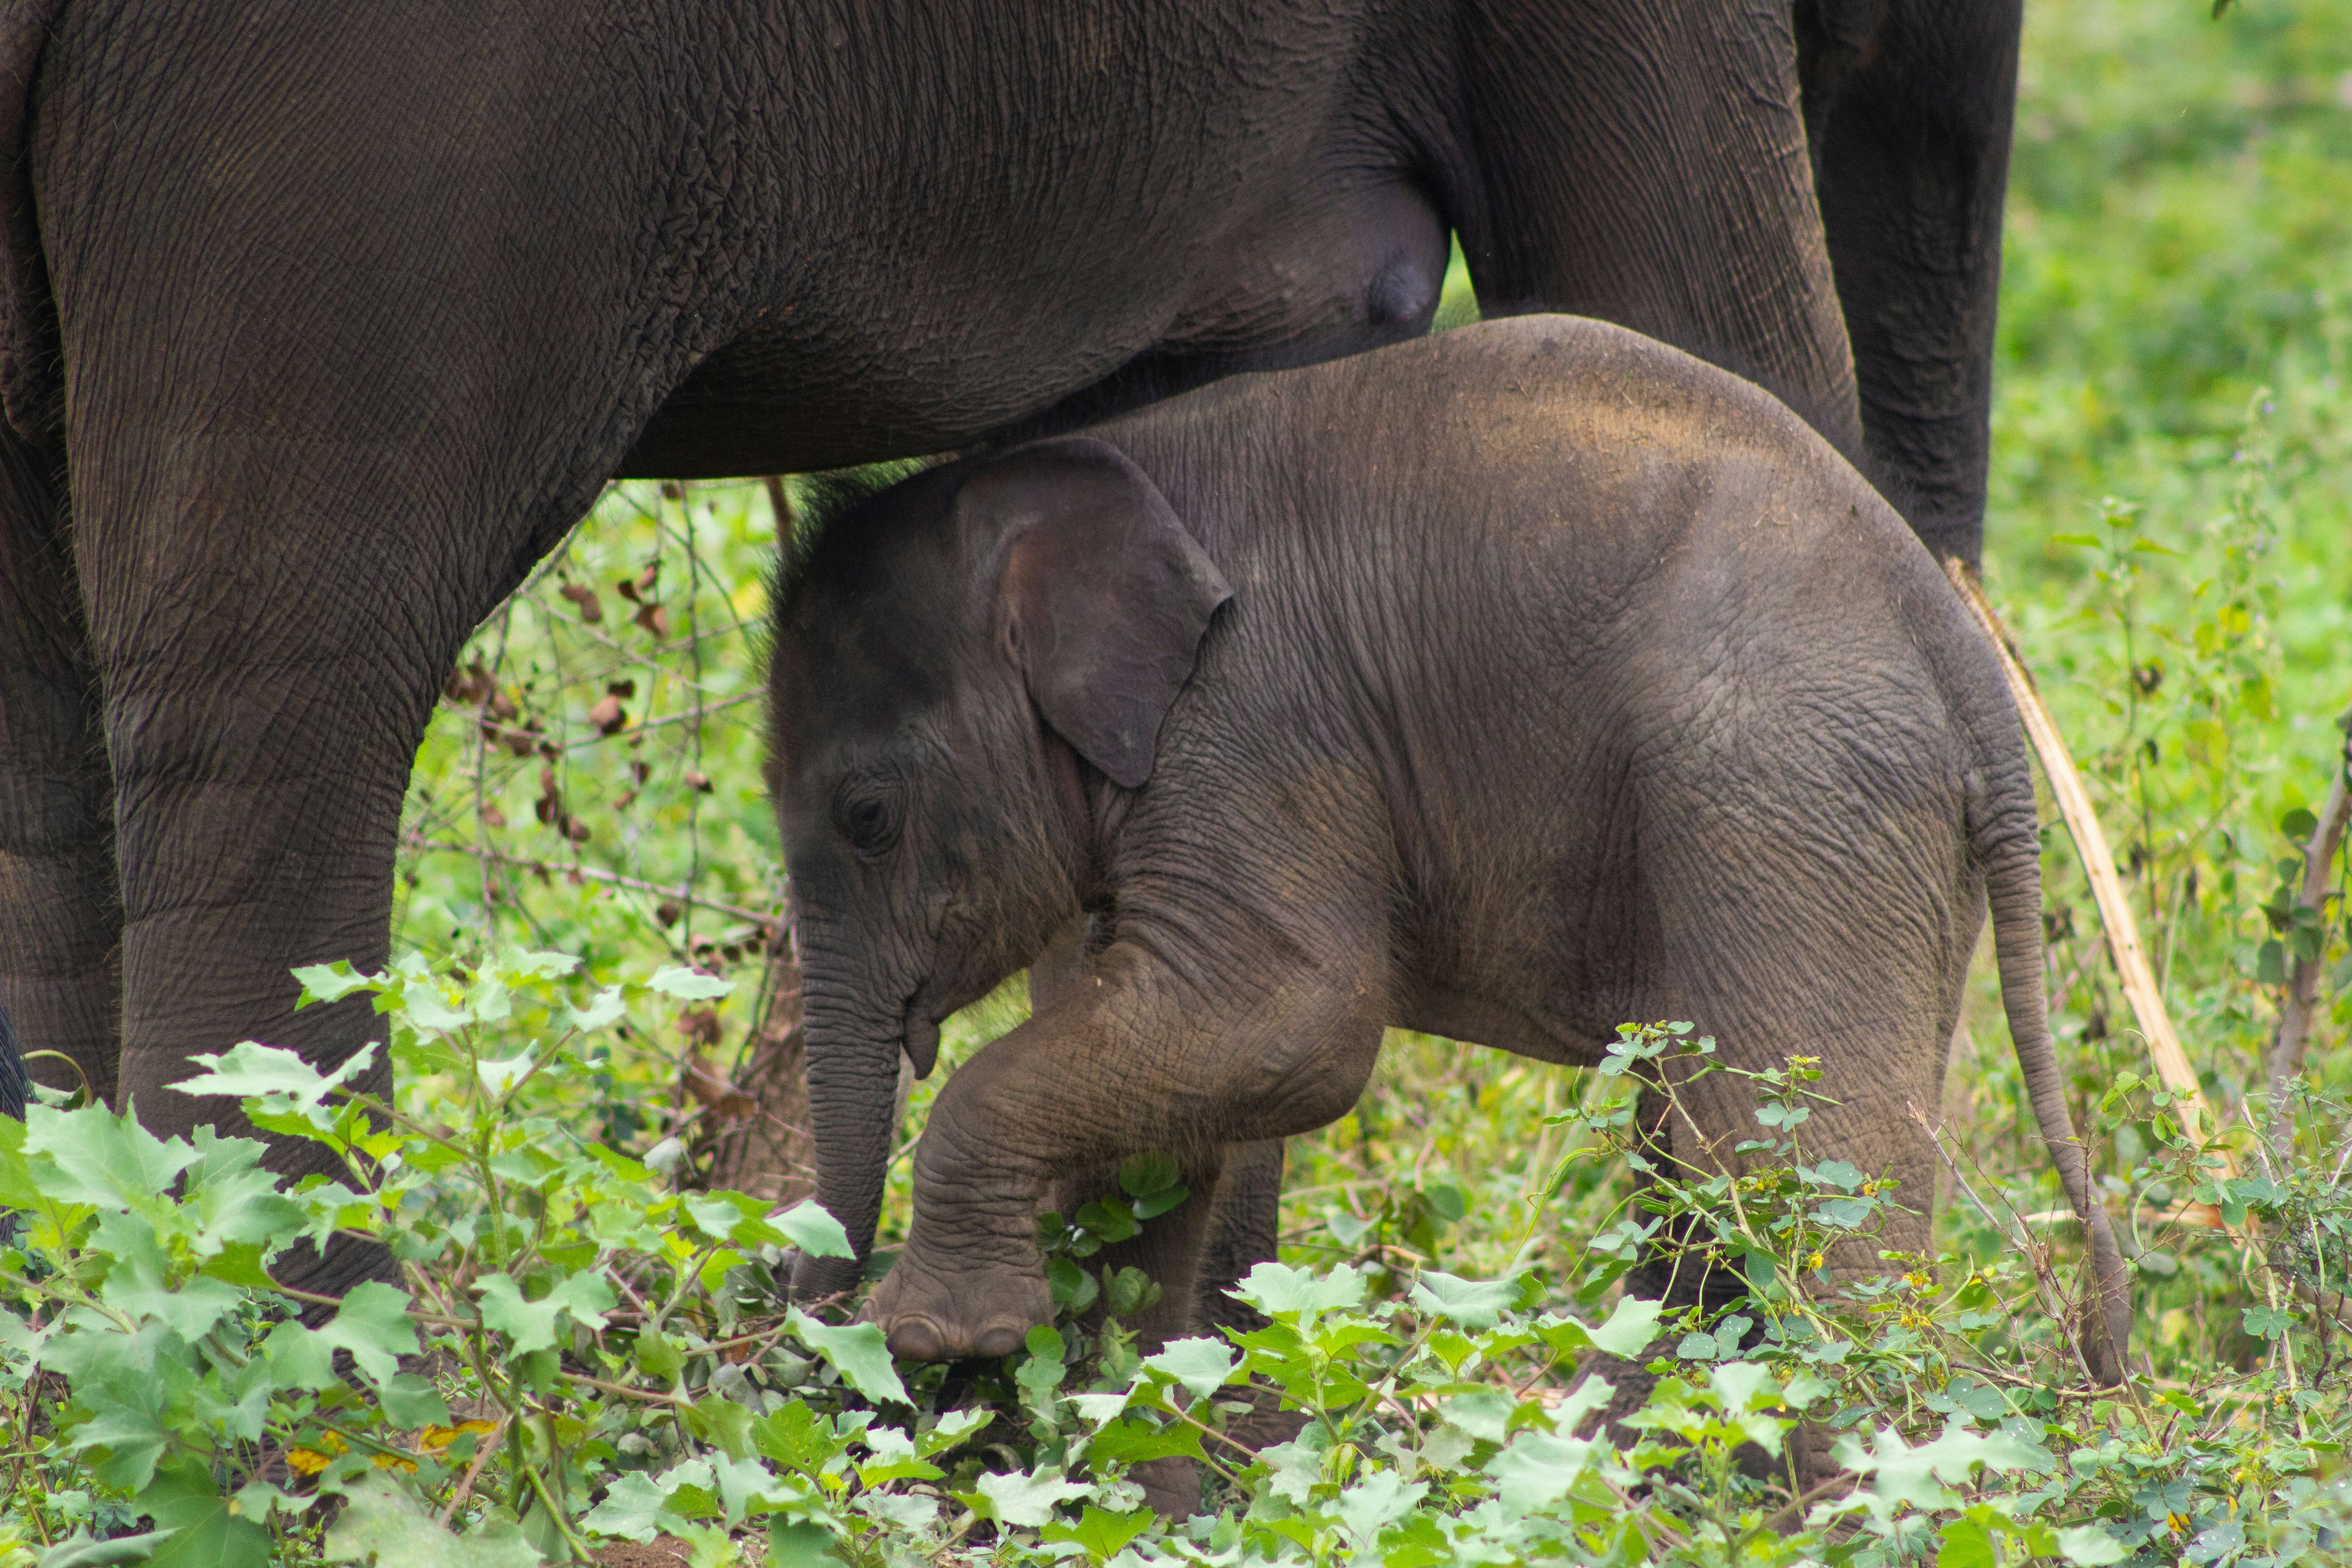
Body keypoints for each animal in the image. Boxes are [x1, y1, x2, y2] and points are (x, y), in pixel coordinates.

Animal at [0, 0, 2021, 1295]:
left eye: (872, 825)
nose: (816, 1313)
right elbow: (1715, 333)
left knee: (61, 761)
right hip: (361, 108)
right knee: (273, 718)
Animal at [765, 316, 2132, 1404]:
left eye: (867, 815)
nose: (801, 1326)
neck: (1090, 467)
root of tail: (1968, 656)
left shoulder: (1257, 721)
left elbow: (1291, 1020)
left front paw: (942, 1338)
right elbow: (1168, 1098)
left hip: (1788, 790)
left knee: (1785, 1163)